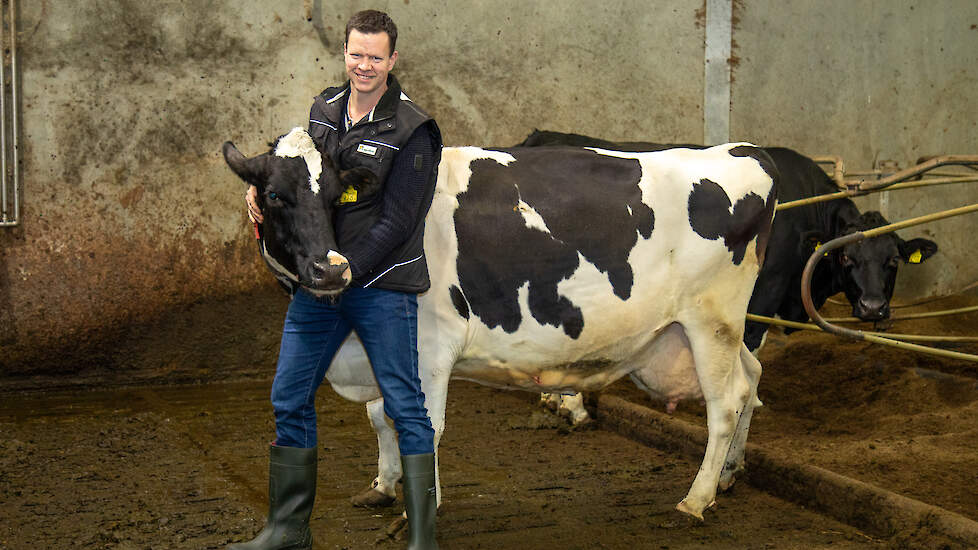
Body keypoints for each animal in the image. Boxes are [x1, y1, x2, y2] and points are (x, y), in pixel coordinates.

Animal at [225, 129, 772, 520]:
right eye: (272, 195)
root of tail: (740, 150)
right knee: (752, 379)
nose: (330, 269)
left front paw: (422, 506)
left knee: (725, 403)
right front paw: (383, 486)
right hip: (711, 329)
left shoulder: (430, 345)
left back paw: (696, 499)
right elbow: (380, 416)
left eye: (338, 194)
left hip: (711, 319)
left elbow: (421, 424)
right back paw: (729, 475)